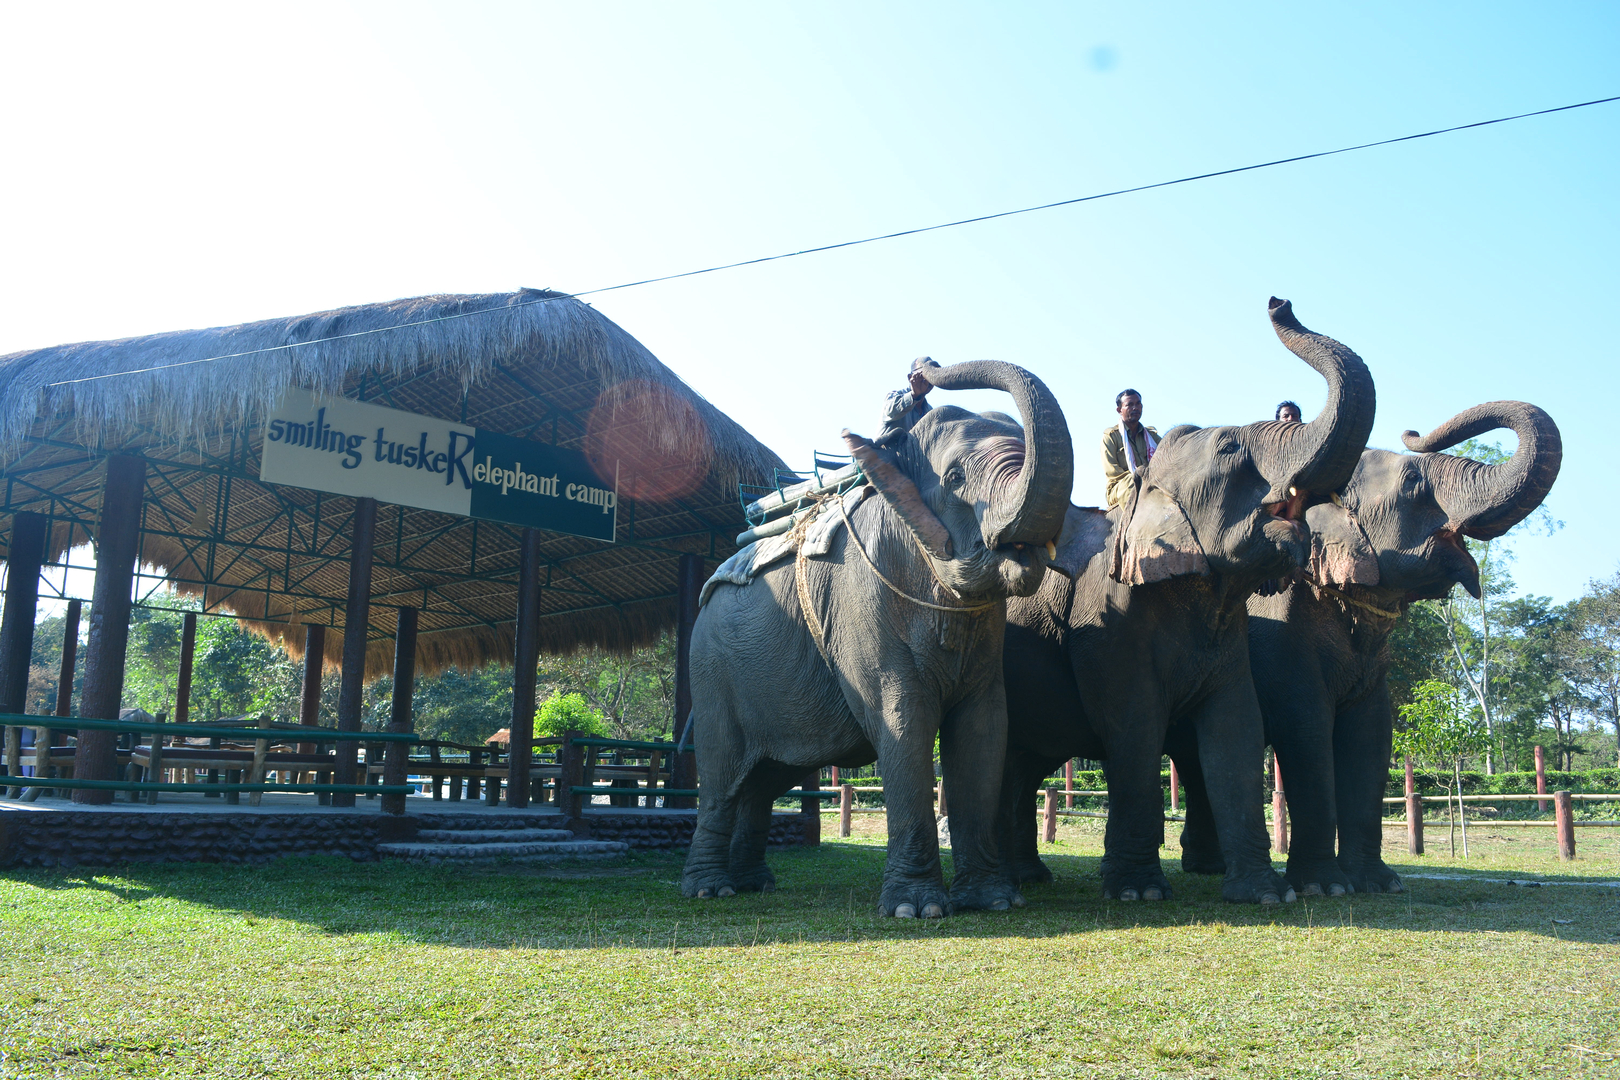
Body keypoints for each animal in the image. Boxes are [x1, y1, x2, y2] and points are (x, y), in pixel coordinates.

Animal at [680, 358, 1073, 917]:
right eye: (955, 477)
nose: (924, 368)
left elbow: (984, 727)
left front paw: (994, 902)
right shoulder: (860, 601)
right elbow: (904, 717)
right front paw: (917, 910)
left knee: (766, 776)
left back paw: (756, 884)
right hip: (712, 669)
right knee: (723, 775)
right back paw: (711, 890)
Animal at [993, 298, 1375, 905]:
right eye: (1229, 447)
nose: (1279, 302)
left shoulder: (1231, 633)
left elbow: (1236, 729)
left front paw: (1265, 895)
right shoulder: (1110, 624)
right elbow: (1134, 726)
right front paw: (1138, 894)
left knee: (1023, 762)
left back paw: (1027, 876)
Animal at [1173, 401, 1561, 896]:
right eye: (1413, 481)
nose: (1414, 432)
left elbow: (1372, 734)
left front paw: (1380, 884)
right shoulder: (1281, 637)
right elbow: (1306, 727)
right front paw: (1325, 888)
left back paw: (1208, 866)